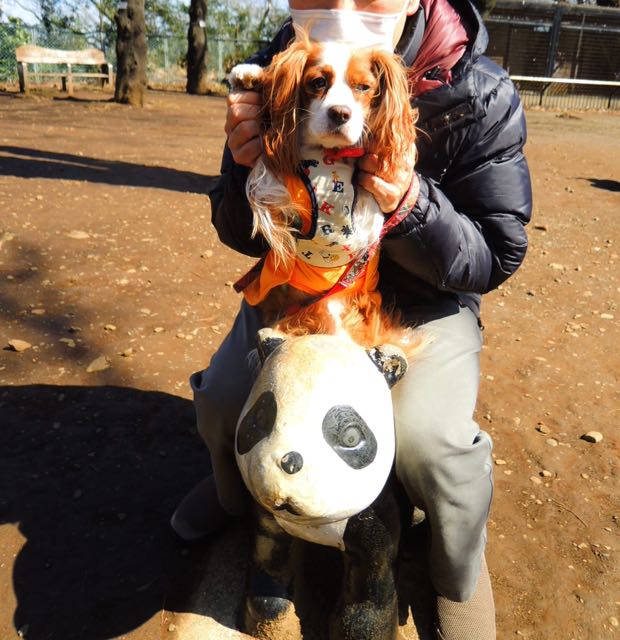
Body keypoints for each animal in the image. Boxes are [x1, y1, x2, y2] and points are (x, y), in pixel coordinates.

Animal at [228, 30, 416, 330]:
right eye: (318, 82)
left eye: (364, 87)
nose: (340, 113)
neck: (328, 157)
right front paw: (251, 76)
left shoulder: (359, 221)